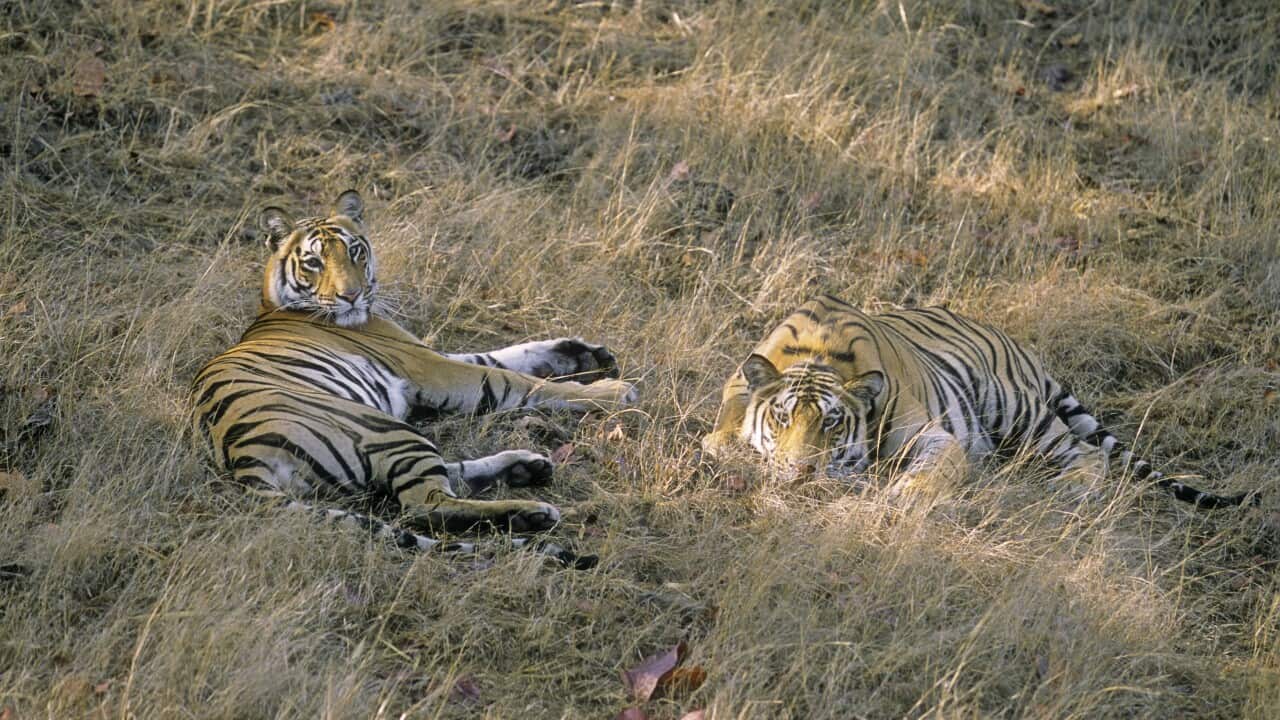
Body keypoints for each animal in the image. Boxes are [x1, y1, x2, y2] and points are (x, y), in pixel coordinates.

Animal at [190, 190, 638, 568]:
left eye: (354, 251)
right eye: (314, 262)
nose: (351, 296)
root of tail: (243, 461)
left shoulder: (427, 355)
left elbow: (510, 354)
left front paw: (582, 352)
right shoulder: (429, 366)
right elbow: (513, 380)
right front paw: (613, 391)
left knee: (433, 482)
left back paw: (527, 468)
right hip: (380, 426)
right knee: (427, 505)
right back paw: (531, 511)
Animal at [701, 294, 1256, 508]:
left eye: (833, 424)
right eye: (781, 418)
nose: (801, 472)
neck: (819, 355)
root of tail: (1021, 348)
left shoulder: (933, 435)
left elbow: (932, 470)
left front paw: (903, 496)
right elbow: (721, 441)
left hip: (1019, 414)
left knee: (1086, 453)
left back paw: (1072, 489)